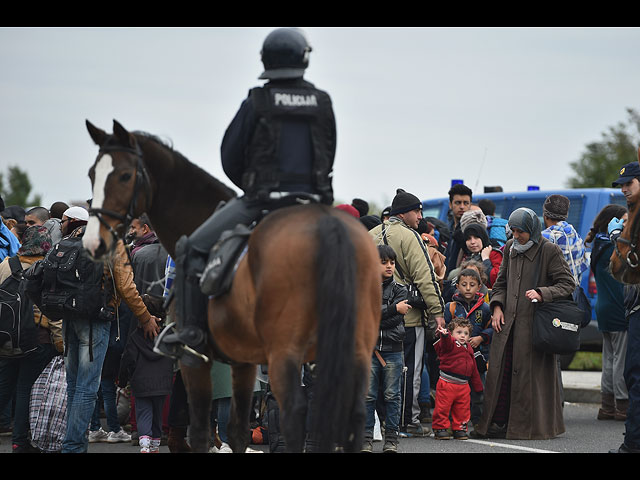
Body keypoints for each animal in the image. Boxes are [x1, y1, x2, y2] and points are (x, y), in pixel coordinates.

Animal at [80, 121, 380, 454]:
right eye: (92, 174)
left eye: (124, 175)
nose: (94, 242)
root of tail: (328, 227)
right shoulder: (244, 360)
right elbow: (237, 431)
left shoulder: (195, 361)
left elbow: (200, 432)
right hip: (353, 350)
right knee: (354, 414)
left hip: (286, 354)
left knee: (294, 414)